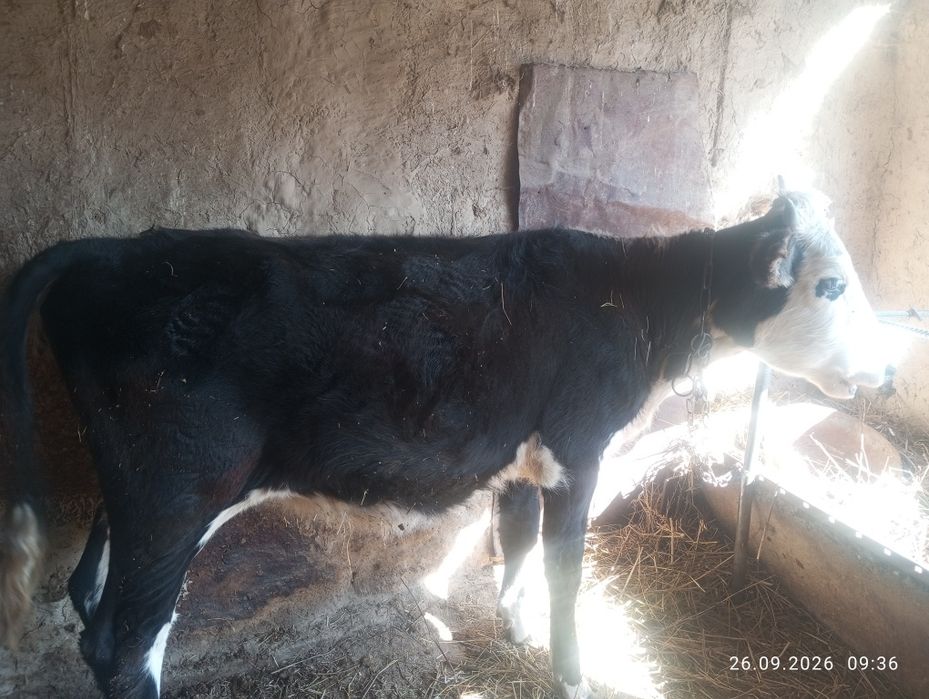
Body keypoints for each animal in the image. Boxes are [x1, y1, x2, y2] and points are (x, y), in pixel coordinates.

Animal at [0, 190, 887, 698]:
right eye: (829, 286)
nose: (884, 368)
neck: (635, 305)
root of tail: (115, 248)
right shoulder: (579, 451)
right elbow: (567, 570)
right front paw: (572, 674)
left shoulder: (524, 458)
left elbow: (516, 543)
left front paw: (517, 631)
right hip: (179, 488)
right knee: (125, 641)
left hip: (134, 485)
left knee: (87, 593)